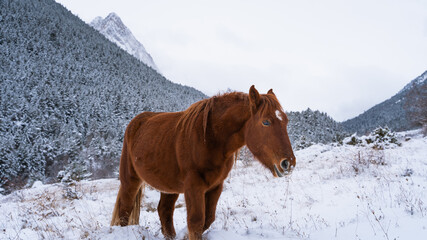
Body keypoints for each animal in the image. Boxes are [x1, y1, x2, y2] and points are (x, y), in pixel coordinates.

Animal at [112, 86, 296, 240]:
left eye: (286, 121)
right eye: (266, 122)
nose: (288, 163)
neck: (209, 137)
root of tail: (136, 122)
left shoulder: (216, 186)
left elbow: (208, 219)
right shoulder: (193, 186)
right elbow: (196, 221)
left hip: (169, 187)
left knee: (164, 211)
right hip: (131, 180)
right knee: (125, 210)